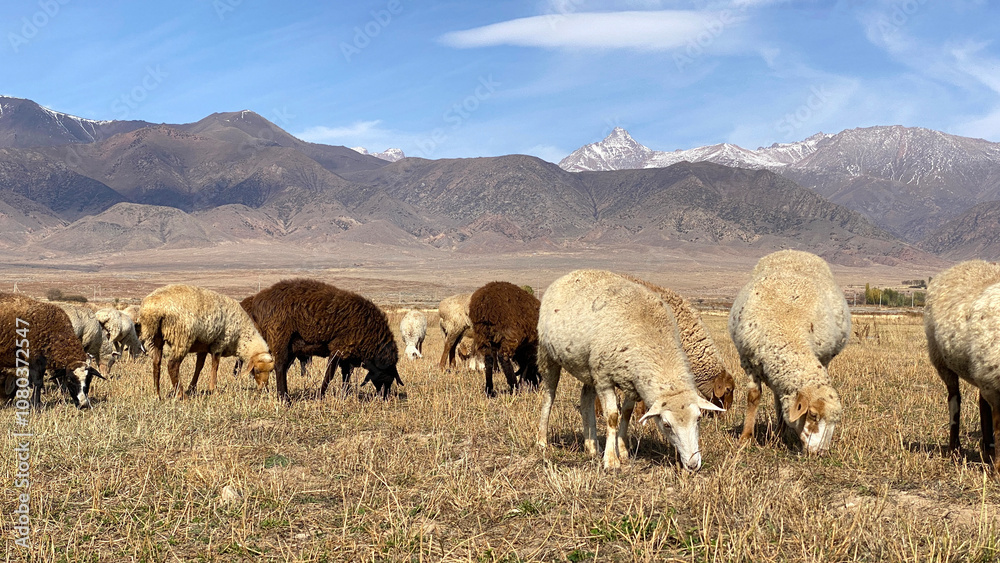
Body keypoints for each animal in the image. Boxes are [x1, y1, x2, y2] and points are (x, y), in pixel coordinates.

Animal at [138, 284, 275, 398]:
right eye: (256, 370)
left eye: (270, 371)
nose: (263, 388)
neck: (241, 337)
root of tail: (153, 309)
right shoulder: (219, 344)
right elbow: (215, 366)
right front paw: (213, 389)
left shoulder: (203, 346)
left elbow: (199, 366)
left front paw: (192, 388)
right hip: (182, 337)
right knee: (172, 366)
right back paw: (182, 396)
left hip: (157, 337)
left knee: (156, 363)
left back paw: (157, 394)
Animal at [241, 278, 403, 402]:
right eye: (389, 375)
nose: (385, 397)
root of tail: (259, 300)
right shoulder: (339, 349)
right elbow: (329, 375)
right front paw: (320, 395)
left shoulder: (347, 354)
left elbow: (346, 376)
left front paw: (344, 395)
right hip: (279, 336)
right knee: (279, 367)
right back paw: (284, 399)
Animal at [536, 270, 723, 471]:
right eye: (666, 425)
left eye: (698, 419)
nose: (693, 464)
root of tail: (570, 274)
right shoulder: (604, 378)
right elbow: (612, 417)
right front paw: (611, 460)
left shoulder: (632, 381)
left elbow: (626, 413)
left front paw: (623, 451)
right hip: (547, 354)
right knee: (549, 396)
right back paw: (542, 441)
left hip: (589, 367)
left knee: (585, 399)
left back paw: (592, 447)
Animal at [729, 250, 849, 455]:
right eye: (813, 415)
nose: (821, 452)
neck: (787, 323)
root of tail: (795, 251)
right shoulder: (748, 360)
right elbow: (753, 397)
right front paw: (745, 438)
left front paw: (779, 435)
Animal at [924, 259, 1000, 470]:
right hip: (942, 362)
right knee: (954, 399)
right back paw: (955, 449)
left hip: (980, 371)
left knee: (981, 402)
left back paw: (987, 449)